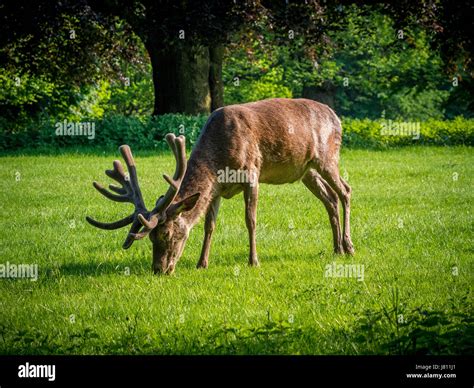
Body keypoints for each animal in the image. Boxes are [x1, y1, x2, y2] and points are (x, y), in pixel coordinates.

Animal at [85, 97, 354, 274]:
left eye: (166, 233)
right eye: (150, 237)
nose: (158, 269)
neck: (218, 158)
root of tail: (337, 118)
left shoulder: (252, 173)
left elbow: (250, 220)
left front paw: (253, 260)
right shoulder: (216, 190)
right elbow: (209, 225)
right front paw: (201, 263)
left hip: (328, 156)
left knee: (346, 190)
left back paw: (349, 246)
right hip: (306, 170)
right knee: (330, 198)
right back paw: (336, 248)